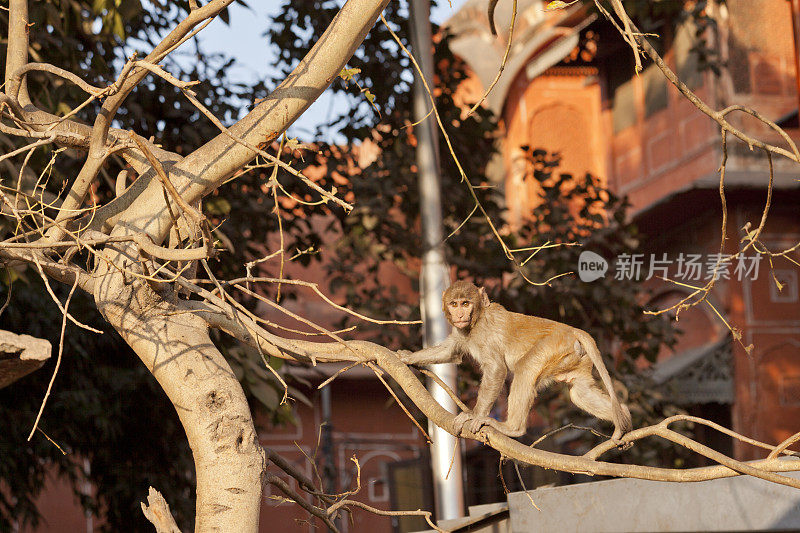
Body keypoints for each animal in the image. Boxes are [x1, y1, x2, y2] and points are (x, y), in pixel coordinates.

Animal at [398, 280, 632, 442]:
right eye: (454, 304)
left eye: (465, 303)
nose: (460, 314)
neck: (476, 321)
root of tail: (572, 330)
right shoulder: (461, 332)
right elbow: (451, 352)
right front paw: (407, 357)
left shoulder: (485, 333)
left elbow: (496, 369)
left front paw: (474, 415)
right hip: (575, 358)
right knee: (579, 391)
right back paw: (624, 415)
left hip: (554, 346)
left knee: (525, 369)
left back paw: (512, 428)